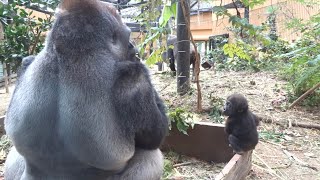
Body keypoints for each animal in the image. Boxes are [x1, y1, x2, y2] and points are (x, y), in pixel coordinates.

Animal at [4, 0, 168, 179]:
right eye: (128, 36)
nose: (133, 47)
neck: (68, 53)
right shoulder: (134, 76)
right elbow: (155, 135)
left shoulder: (27, 61)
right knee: (150, 155)